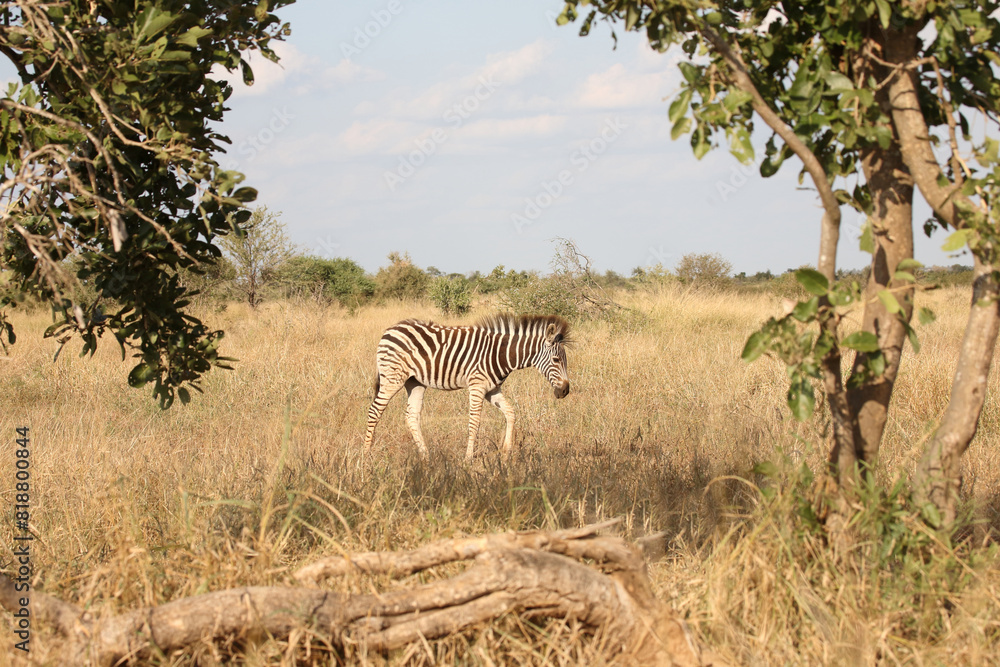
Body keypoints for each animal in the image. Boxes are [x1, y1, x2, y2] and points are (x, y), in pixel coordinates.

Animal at [363, 314, 571, 461]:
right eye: (556, 360)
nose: (565, 391)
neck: (501, 354)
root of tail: (391, 329)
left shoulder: (492, 390)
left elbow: (511, 413)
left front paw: (506, 452)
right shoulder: (477, 386)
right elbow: (474, 422)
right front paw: (468, 459)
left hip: (415, 382)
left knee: (411, 416)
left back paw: (426, 456)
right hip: (393, 378)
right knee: (374, 411)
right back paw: (366, 455)